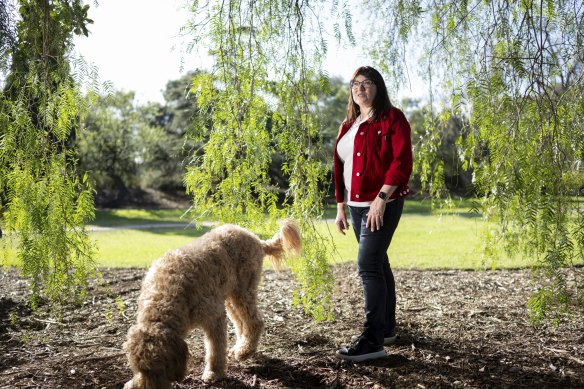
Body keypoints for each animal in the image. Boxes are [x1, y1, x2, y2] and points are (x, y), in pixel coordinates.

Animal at [121, 220, 298, 386]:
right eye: (139, 369)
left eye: (159, 369)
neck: (166, 297)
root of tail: (256, 239)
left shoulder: (214, 317)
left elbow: (215, 349)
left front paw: (214, 373)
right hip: (229, 297)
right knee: (241, 323)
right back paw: (239, 347)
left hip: (243, 291)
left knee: (255, 322)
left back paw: (245, 352)